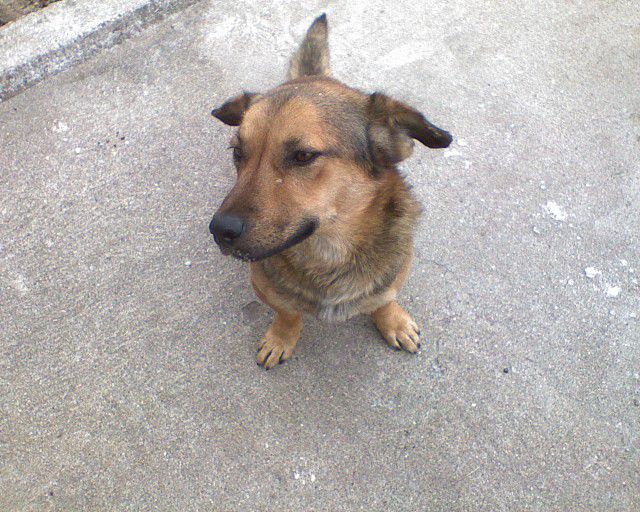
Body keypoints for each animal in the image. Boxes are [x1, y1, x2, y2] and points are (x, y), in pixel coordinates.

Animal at [209, 14, 452, 369]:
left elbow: (384, 299)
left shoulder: (394, 274)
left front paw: (392, 320)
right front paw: (281, 337)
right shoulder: (264, 285)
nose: (219, 231)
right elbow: (288, 313)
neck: (328, 253)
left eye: (303, 156)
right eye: (237, 152)